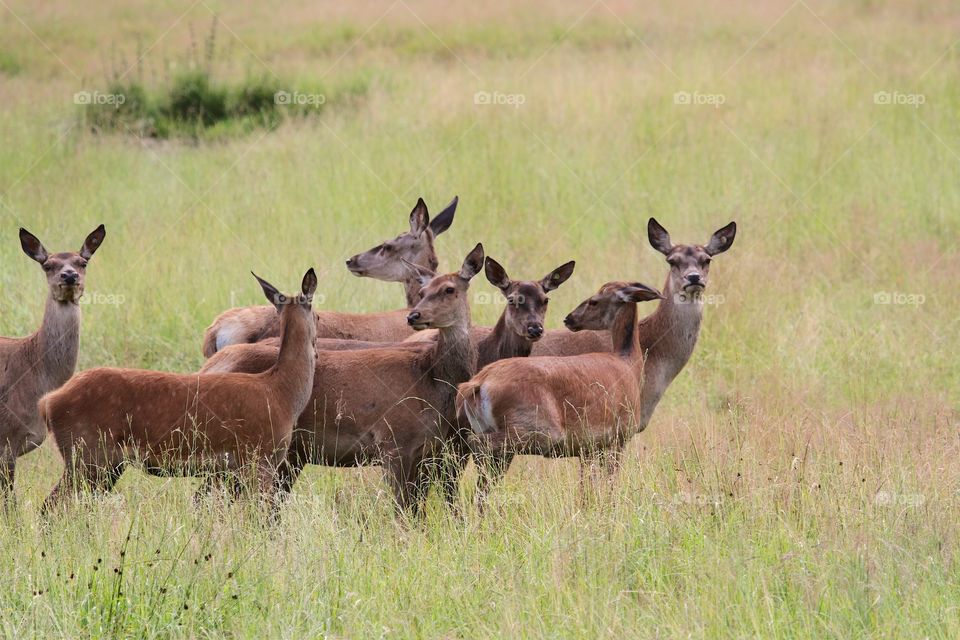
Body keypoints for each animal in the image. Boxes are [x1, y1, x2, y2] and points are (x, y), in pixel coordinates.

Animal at [39, 268, 316, 512]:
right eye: (317, 314)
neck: (282, 393)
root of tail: (48, 402)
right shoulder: (261, 458)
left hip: (102, 463)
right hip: (86, 454)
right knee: (50, 506)